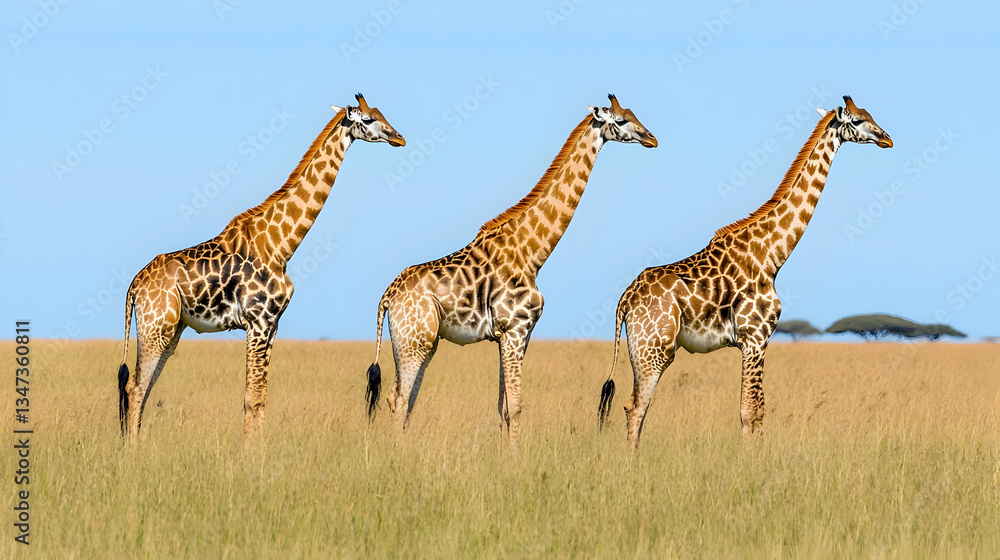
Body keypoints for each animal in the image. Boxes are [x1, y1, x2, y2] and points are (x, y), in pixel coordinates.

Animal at [117, 94, 405, 442]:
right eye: (369, 118)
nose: (399, 137)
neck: (281, 246)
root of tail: (134, 286)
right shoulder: (258, 321)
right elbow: (251, 398)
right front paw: (248, 454)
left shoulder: (272, 325)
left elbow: (261, 397)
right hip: (156, 326)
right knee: (135, 387)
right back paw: (132, 450)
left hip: (170, 330)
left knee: (143, 387)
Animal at [364, 94, 657, 448]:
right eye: (622, 120)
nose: (651, 138)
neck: (533, 255)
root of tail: (387, 297)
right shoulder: (515, 329)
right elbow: (515, 406)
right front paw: (516, 458)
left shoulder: (516, 335)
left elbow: (503, 406)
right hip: (413, 341)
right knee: (399, 398)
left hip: (422, 341)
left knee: (404, 397)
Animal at [598, 95, 892, 448]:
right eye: (858, 120)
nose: (887, 139)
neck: (773, 254)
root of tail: (624, 300)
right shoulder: (755, 336)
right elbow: (751, 413)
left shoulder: (755, 341)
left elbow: (753, 413)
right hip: (653, 349)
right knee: (635, 406)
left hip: (644, 349)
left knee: (635, 406)